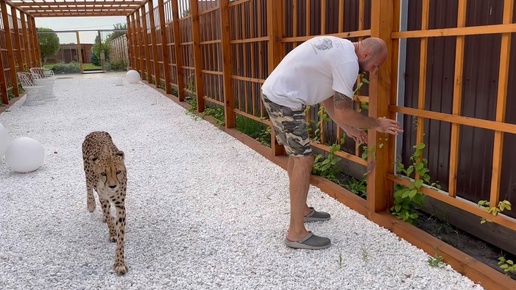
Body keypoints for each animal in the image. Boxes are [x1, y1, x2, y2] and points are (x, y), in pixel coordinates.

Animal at [82, 131, 128, 274]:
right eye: (103, 173)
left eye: (118, 171)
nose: (113, 186)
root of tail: (95, 131)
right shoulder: (103, 197)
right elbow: (108, 214)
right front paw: (112, 232)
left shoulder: (120, 204)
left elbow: (120, 235)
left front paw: (119, 262)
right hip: (87, 170)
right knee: (88, 185)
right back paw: (91, 204)